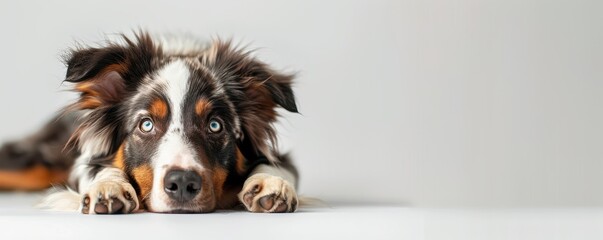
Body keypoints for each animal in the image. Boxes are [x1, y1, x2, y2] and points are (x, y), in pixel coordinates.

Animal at [0, 31, 300, 214]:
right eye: (146, 124)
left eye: (215, 125)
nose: (182, 183)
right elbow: (100, 170)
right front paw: (109, 187)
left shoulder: (280, 156)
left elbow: (278, 167)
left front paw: (272, 185)